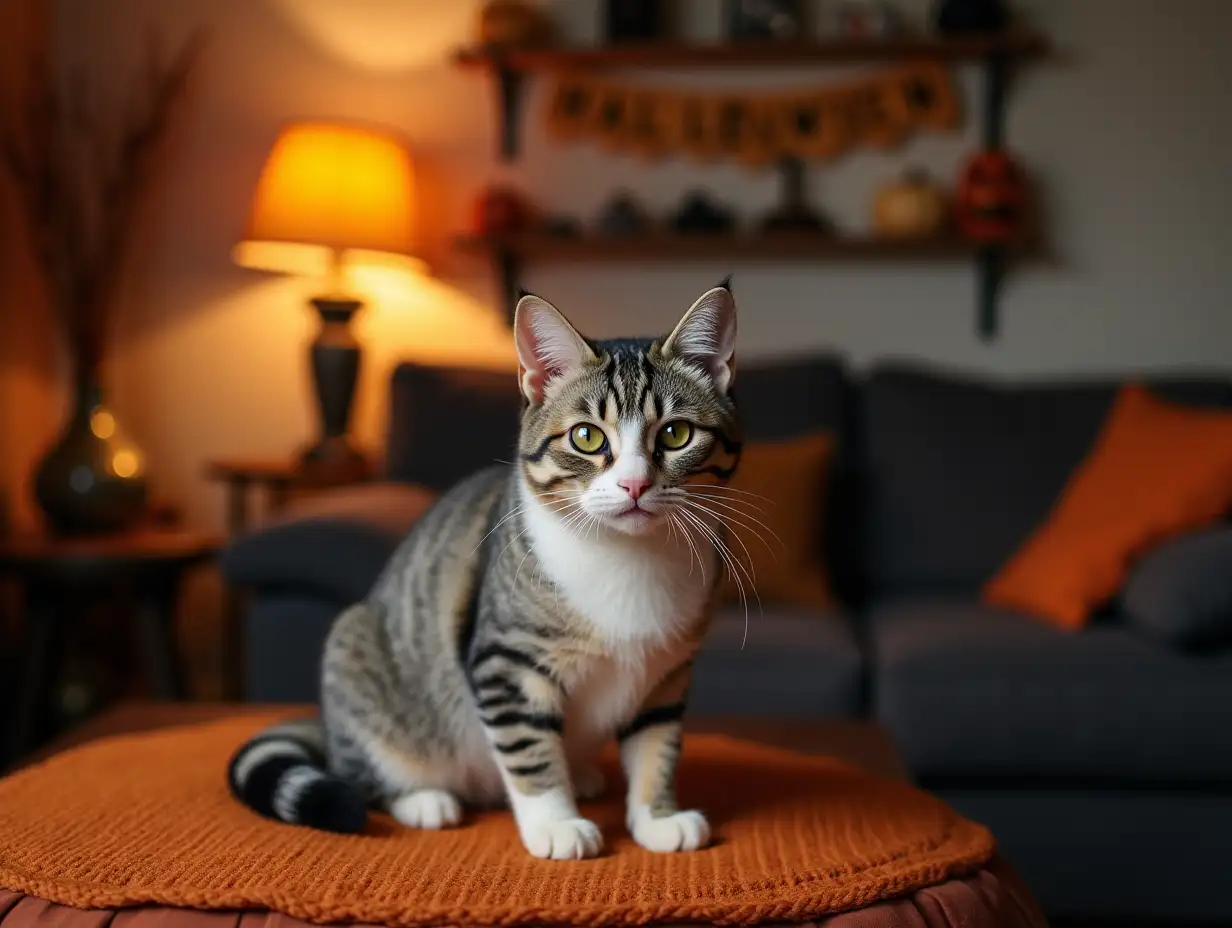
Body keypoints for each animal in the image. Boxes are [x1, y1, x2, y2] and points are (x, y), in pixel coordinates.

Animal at [229, 282, 739, 862]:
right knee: (366, 770)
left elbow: (658, 745)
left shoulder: (666, 673)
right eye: (587, 437)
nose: (634, 485)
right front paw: (556, 823)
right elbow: (529, 749)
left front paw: (658, 817)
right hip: (355, 653)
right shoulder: (507, 661)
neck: (629, 558)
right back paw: (425, 799)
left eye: (676, 434)